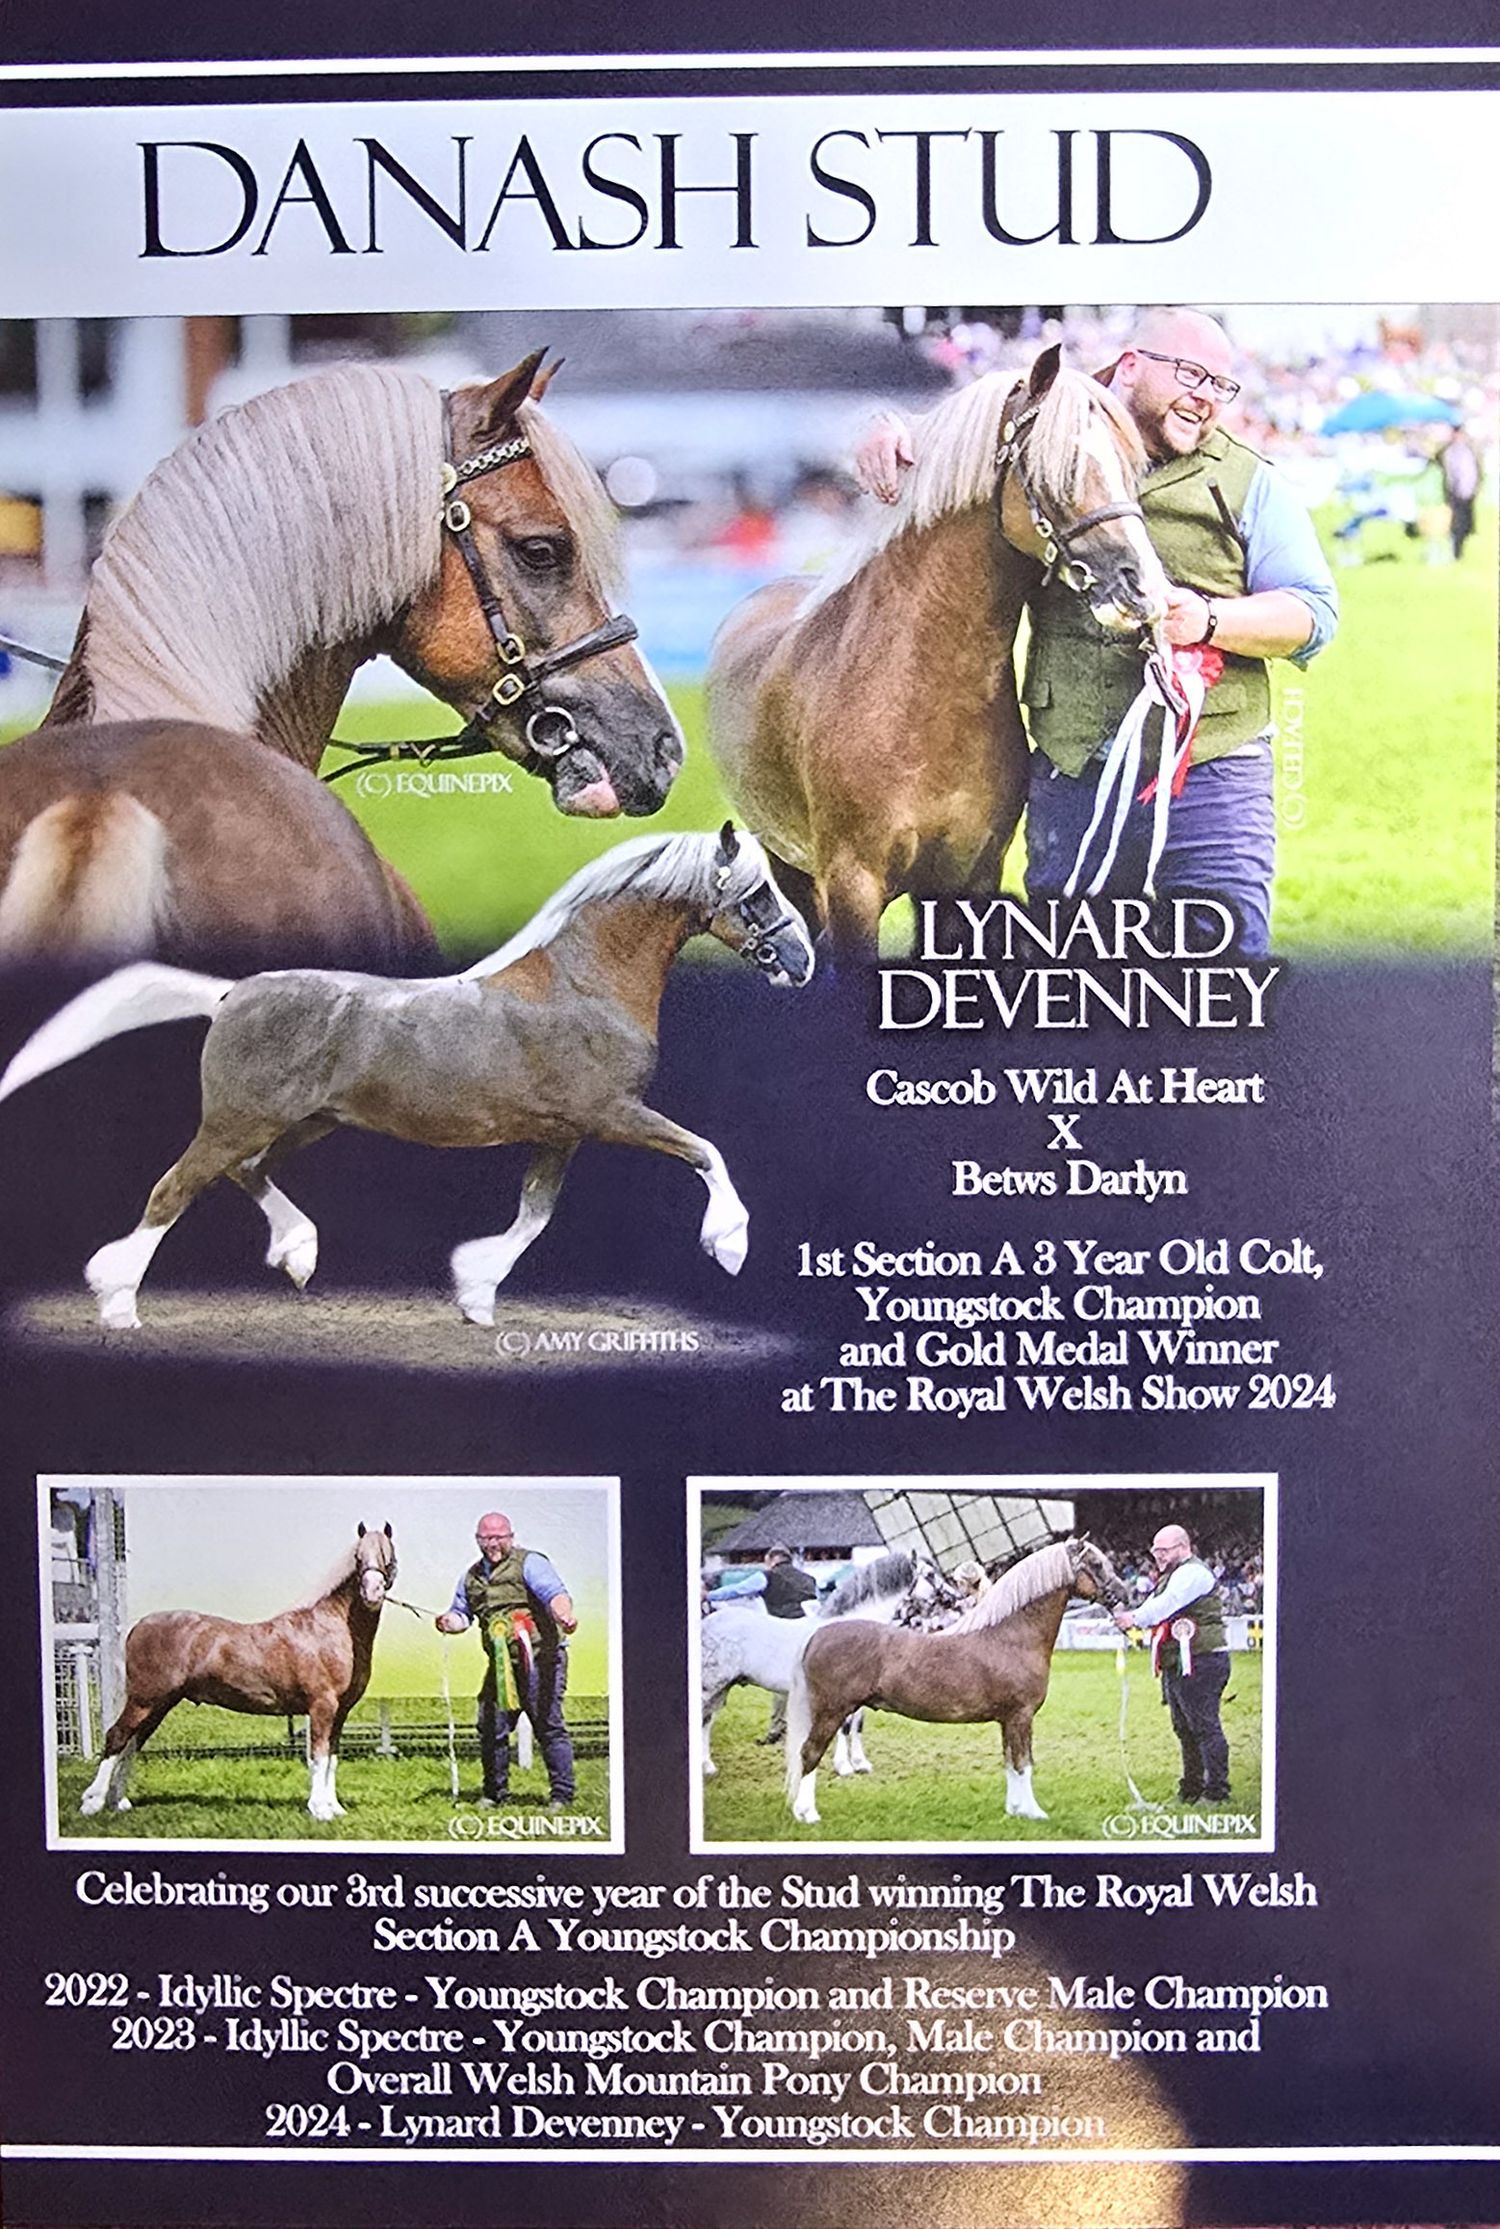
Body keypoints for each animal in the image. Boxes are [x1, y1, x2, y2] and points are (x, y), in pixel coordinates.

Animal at [0, 824, 813, 1330]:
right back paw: (119, 1306)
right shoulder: (613, 1114)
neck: (581, 985)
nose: (801, 963)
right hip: (240, 1119)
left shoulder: (562, 1134)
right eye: (759, 894)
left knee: (245, 1173)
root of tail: (231, 993)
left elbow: (534, 1215)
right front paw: (730, 1245)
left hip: (303, 1123)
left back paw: (299, 1255)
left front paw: (476, 1294)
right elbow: (707, 1151)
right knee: (174, 1189)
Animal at [77, 1522, 396, 1823]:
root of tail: (138, 1627)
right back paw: (93, 1803)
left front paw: (334, 1808)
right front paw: (319, 1810)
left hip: (158, 1705)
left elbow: (331, 1758)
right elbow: (318, 1757)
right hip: (144, 1700)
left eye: (388, 1557)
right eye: (358, 1558)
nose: (373, 1594)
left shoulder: (340, 1713)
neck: (333, 1629)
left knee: (132, 1744)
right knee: (117, 1737)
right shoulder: (322, 1706)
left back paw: (119, 1801)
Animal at [700, 1551, 959, 1778]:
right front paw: (844, 1767)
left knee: (707, 1720)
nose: (953, 1598)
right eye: (930, 1574)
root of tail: (707, 1622)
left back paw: (708, 1767)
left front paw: (860, 1763)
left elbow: (857, 1725)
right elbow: (844, 1727)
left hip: (722, 1688)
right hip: (711, 1685)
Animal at [705, 346, 1169, 953]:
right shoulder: (853, 886)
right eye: (1064, 468)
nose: (1142, 588)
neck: (921, 693)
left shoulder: (969, 877)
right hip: (790, 867)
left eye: (1133, 468)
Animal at [783, 1537, 1125, 1826]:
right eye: (1096, 1564)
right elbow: (1023, 1763)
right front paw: (1033, 1812)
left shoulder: (1007, 1720)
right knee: (809, 1753)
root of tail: (817, 1636)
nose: (1127, 1594)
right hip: (831, 1711)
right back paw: (808, 1814)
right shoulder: (1021, 1716)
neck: (1011, 1636)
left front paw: (1014, 1810)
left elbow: (1010, 1763)